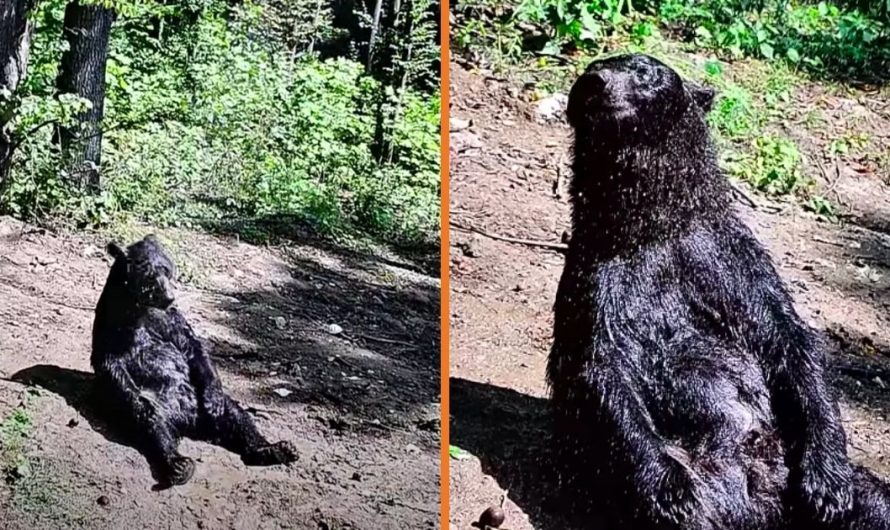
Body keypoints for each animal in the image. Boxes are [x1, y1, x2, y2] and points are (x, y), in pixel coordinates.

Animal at [92, 235, 296, 486]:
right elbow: (113, 367)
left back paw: (276, 449)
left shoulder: (169, 320)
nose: (169, 296)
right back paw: (179, 465)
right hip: (158, 405)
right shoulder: (113, 327)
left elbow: (194, 348)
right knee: (154, 427)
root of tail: (187, 421)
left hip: (197, 398)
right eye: (150, 276)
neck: (139, 309)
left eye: (168, 270)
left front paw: (213, 399)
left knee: (237, 416)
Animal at [548, 53, 888, 528]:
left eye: (644, 71)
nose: (595, 82)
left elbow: (788, 340)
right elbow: (600, 367)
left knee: (875, 500)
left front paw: (826, 481)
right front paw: (671, 490)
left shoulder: (725, 258)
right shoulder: (597, 276)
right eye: (592, 67)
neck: (653, 228)